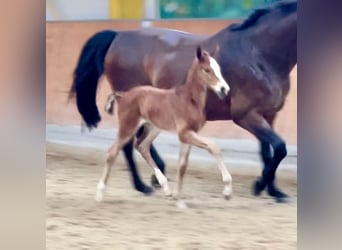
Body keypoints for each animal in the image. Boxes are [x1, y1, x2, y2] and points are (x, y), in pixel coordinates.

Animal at [95, 47, 231, 202]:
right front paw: (227, 190)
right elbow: (213, 147)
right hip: (128, 126)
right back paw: (99, 193)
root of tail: (122, 95)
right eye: (207, 70)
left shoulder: (190, 134)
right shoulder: (184, 133)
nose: (224, 89)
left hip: (153, 127)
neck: (190, 100)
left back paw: (166, 188)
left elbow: (183, 165)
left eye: (219, 69)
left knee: (142, 146)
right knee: (113, 151)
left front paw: (178, 196)